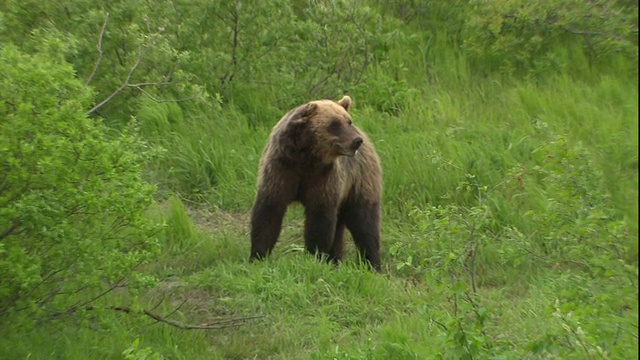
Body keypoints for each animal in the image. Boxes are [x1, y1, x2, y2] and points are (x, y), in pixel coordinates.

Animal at [249, 95, 380, 270]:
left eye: (348, 121)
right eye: (334, 124)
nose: (357, 140)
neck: (306, 157)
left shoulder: (324, 178)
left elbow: (320, 220)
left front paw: (314, 256)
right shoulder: (280, 169)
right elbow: (268, 213)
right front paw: (257, 256)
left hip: (360, 181)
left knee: (365, 223)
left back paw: (372, 264)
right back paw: (335, 260)